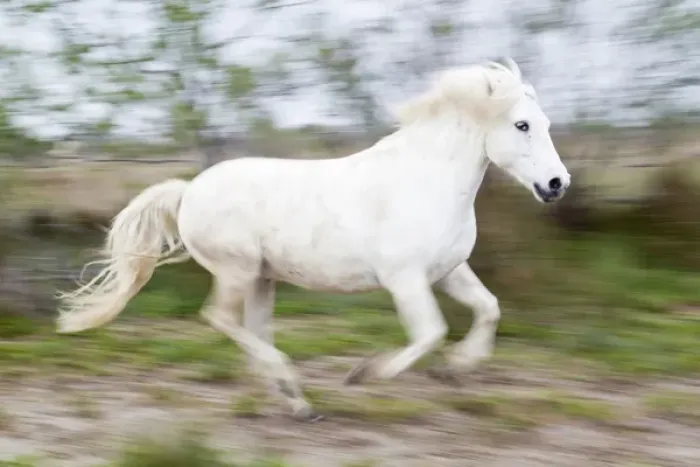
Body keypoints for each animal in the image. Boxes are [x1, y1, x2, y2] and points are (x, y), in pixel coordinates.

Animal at [56, 58, 570, 422]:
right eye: (522, 125)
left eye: (545, 124)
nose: (557, 184)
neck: (425, 182)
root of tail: (188, 191)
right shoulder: (405, 280)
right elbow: (430, 333)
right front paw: (363, 375)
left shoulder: (447, 272)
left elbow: (489, 309)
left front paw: (458, 368)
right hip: (238, 271)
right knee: (220, 318)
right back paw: (291, 387)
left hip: (262, 279)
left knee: (252, 329)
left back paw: (295, 400)